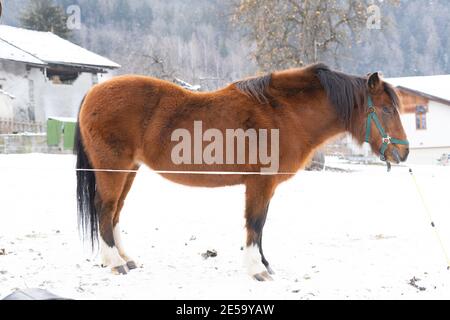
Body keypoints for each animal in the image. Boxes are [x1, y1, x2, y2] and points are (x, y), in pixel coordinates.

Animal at [74, 62, 408, 280]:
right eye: (387, 110)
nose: (403, 152)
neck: (283, 113)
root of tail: (93, 93)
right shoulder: (259, 184)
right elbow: (255, 223)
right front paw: (257, 269)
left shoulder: (265, 186)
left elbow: (261, 226)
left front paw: (264, 263)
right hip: (113, 168)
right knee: (105, 209)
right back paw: (114, 262)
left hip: (129, 170)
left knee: (115, 212)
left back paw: (126, 259)